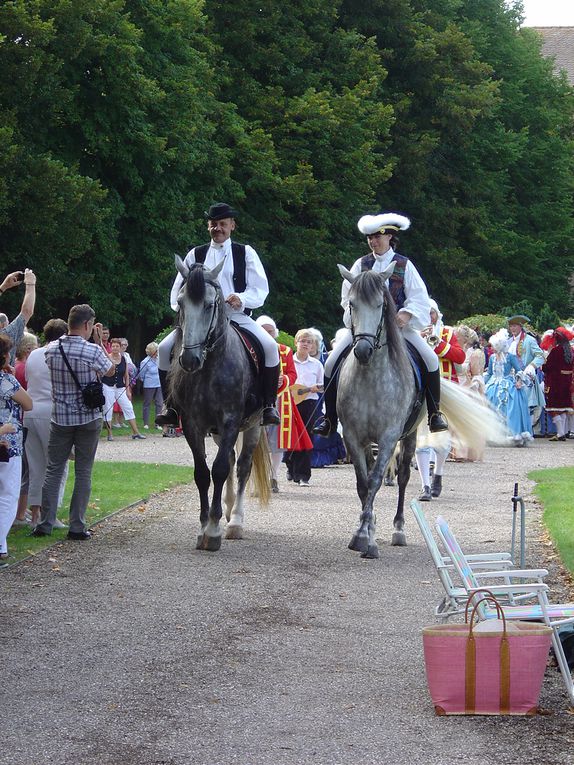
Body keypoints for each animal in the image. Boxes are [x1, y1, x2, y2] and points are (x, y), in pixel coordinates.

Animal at [170, 256, 272, 548]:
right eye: (180, 302)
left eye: (208, 304)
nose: (189, 360)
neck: (209, 368)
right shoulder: (193, 425)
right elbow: (203, 473)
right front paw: (204, 526)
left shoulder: (230, 421)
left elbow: (219, 469)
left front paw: (214, 531)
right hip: (217, 432)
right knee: (230, 460)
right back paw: (227, 508)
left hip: (253, 425)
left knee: (242, 466)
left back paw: (235, 520)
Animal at [336, 266, 426, 560]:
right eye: (352, 304)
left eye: (380, 305)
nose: (363, 350)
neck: (370, 377)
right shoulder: (352, 436)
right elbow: (363, 484)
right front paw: (364, 532)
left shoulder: (388, 437)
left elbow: (375, 479)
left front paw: (366, 539)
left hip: (410, 436)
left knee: (404, 476)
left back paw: (399, 530)